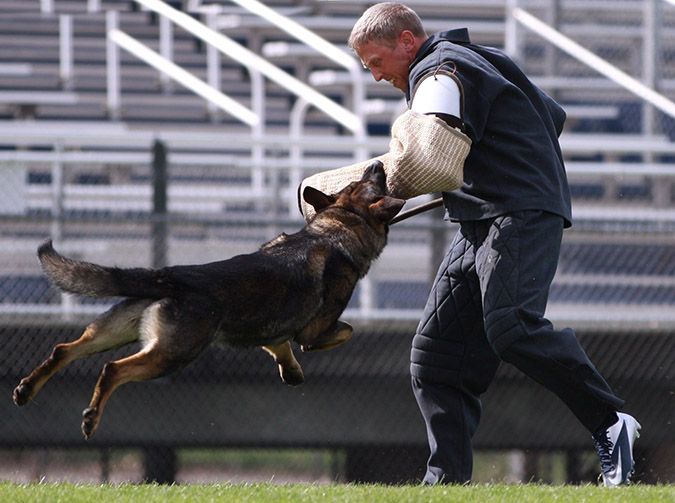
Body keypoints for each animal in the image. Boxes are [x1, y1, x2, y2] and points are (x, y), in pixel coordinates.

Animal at [13, 162, 404, 440]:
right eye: (374, 184)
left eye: (356, 184)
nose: (376, 163)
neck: (338, 226)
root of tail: (172, 276)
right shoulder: (316, 330)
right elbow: (344, 331)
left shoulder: (272, 331)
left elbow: (278, 345)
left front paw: (290, 370)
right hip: (173, 353)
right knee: (112, 369)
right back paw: (91, 417)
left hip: (113, 331)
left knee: (64, 349)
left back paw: (26, 389)